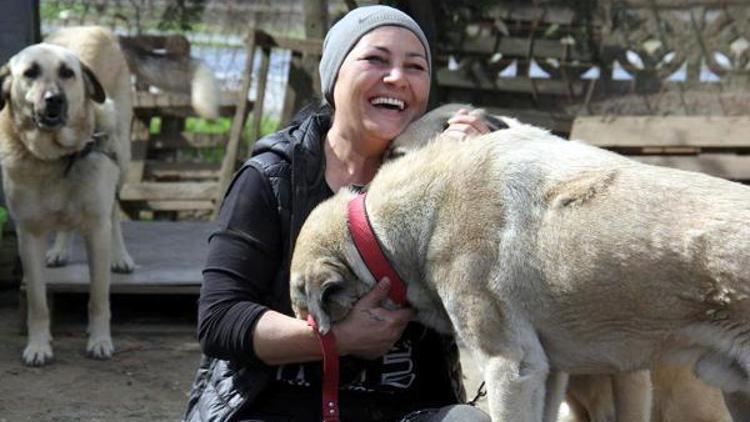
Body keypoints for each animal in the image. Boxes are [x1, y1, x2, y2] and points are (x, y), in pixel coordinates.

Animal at [0, 25, 135, 366]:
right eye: (30, 73)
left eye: (67, 73)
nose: (54, 100)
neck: (55, 157)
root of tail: (93, 27)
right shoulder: (28, 235)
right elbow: (37, 302)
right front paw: (38, 345)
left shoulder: (97, 231)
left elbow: (98, 298)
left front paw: (99, 341)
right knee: (65, 222)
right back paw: (60, 250)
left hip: (122, 156)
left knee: (114, 213)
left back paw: (121, 257)